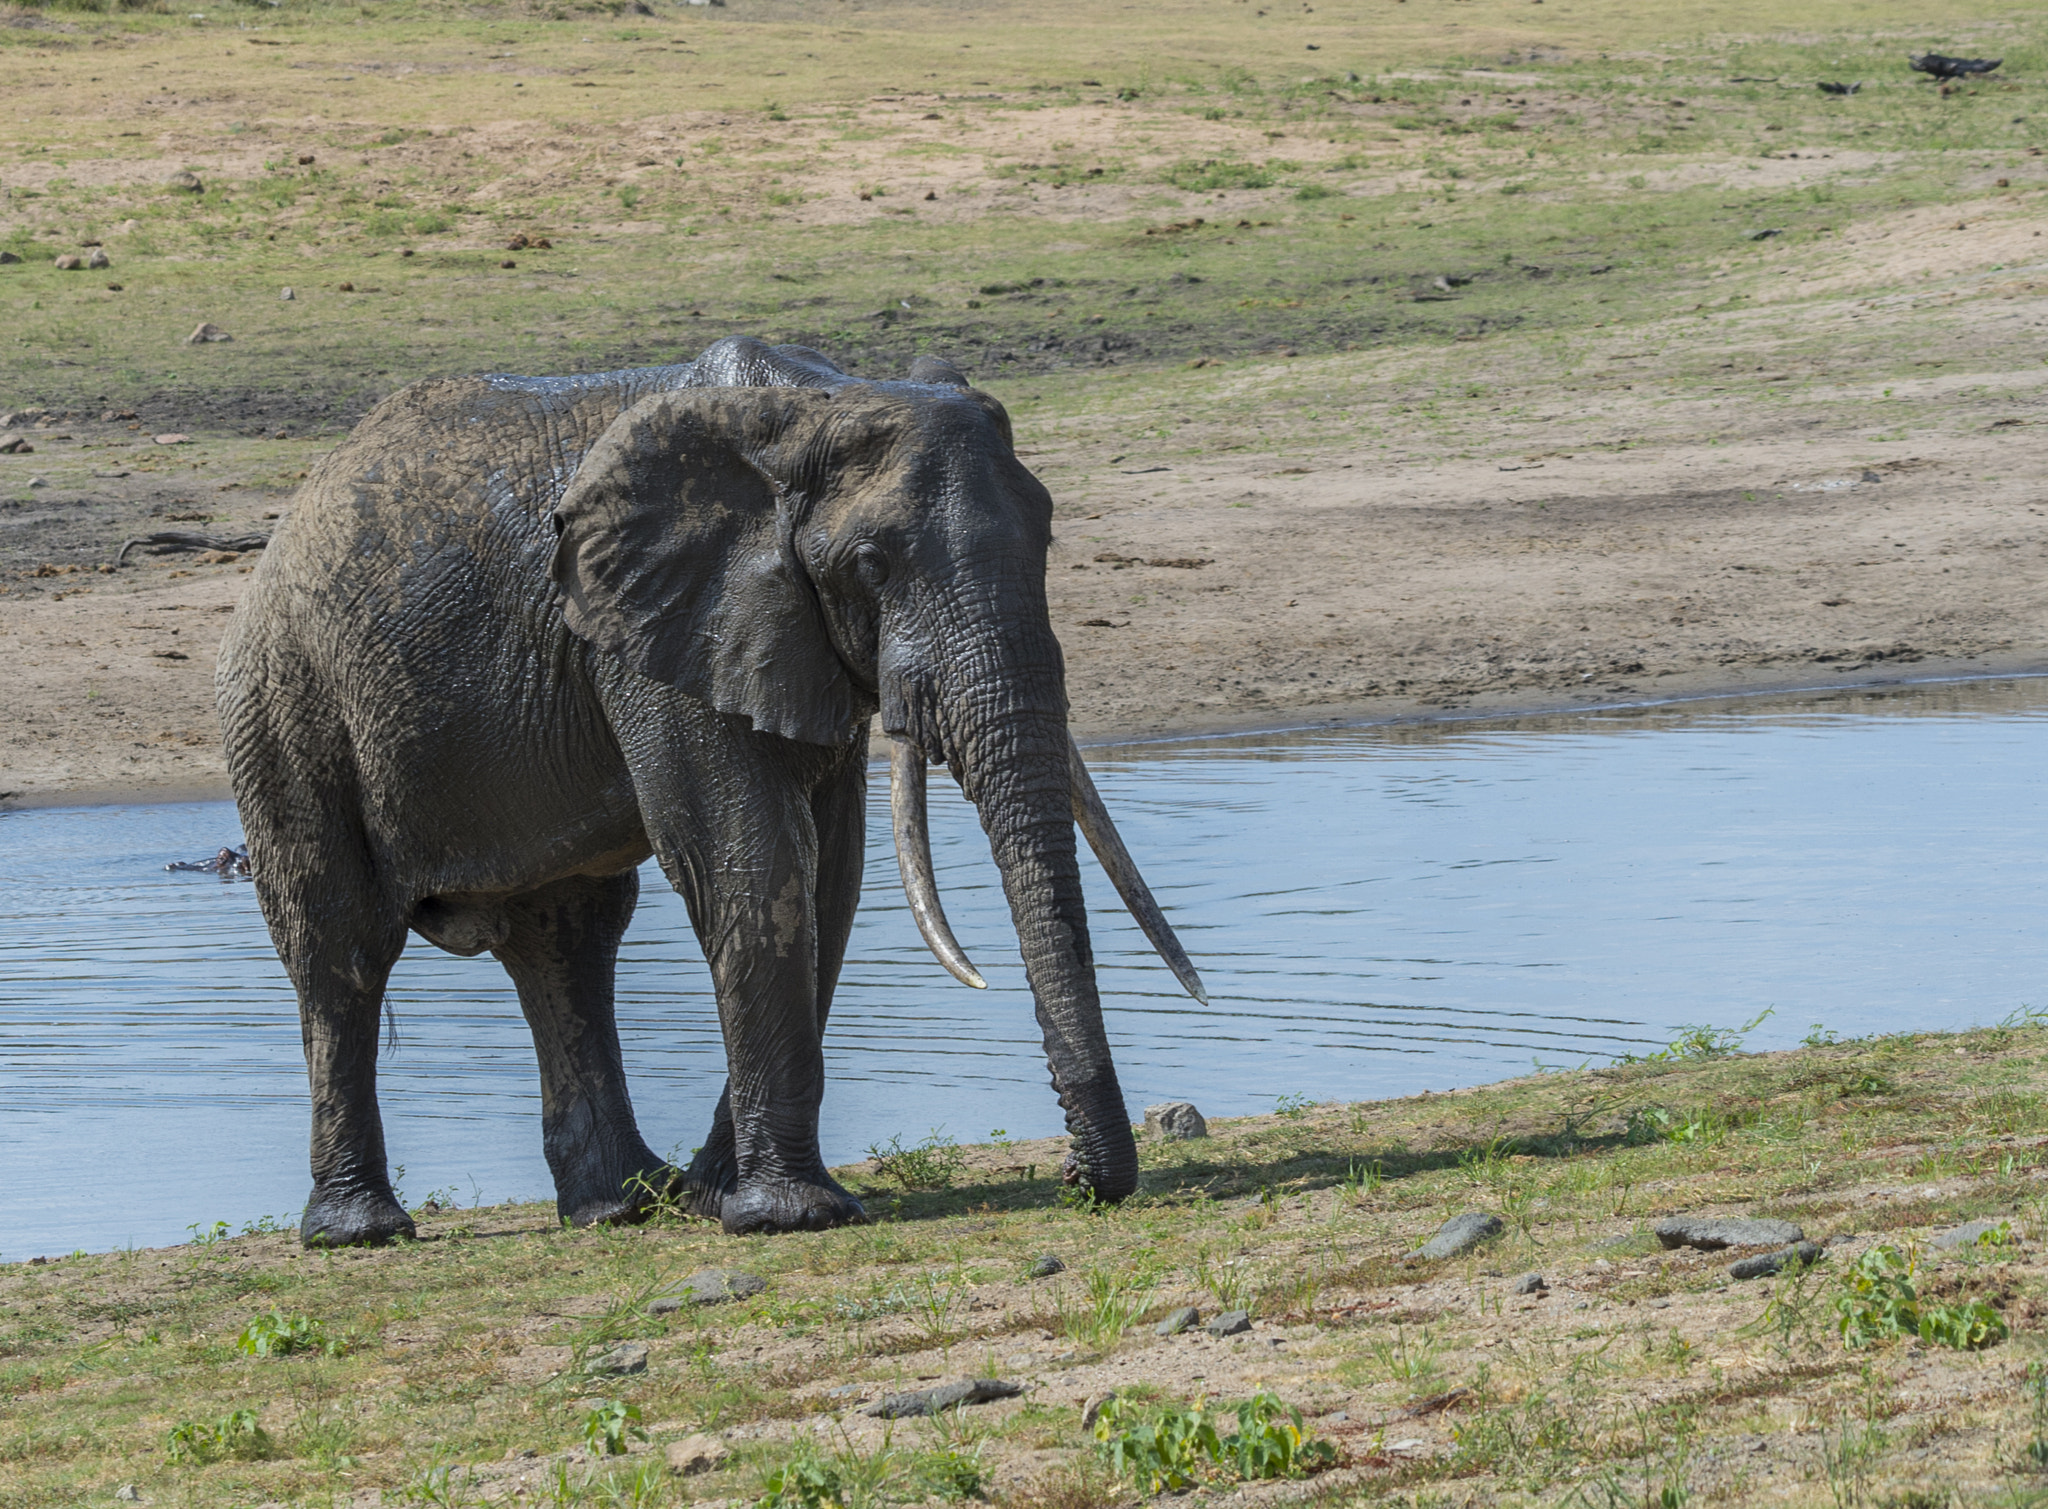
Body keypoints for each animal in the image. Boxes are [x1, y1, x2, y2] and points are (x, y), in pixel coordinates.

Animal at [215, 336, 1206, 1245]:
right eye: (873, 564)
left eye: (1047, 538)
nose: (1078, 1175)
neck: (813, 408)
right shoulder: (656, 624)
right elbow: (751, 857)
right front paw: (791, 1215)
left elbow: (827, 877)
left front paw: (717, 1198)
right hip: (287, 700)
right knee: (340, 945)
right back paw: (362, 1230)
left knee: (567, 939)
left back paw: (623, 1203)